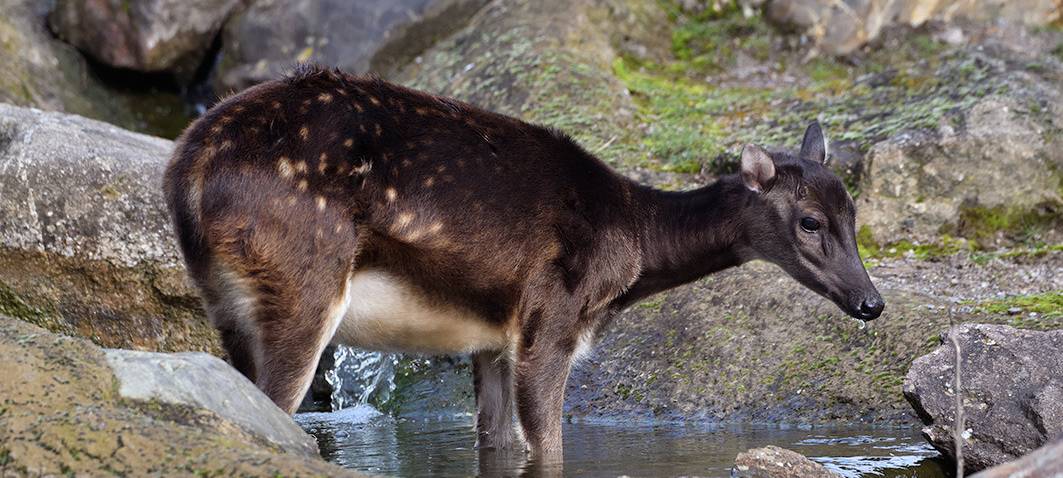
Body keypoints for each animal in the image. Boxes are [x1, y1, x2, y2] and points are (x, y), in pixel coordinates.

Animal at [163, 65, 884, 461]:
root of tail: (187, 170)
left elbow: (499, 440)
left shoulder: (491, 340)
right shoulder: (550, 318)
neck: (632, 244)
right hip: (301, 276)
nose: (870, 302)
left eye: (854, 215)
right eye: (809, 222)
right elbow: (549, 443)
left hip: (224, 300)